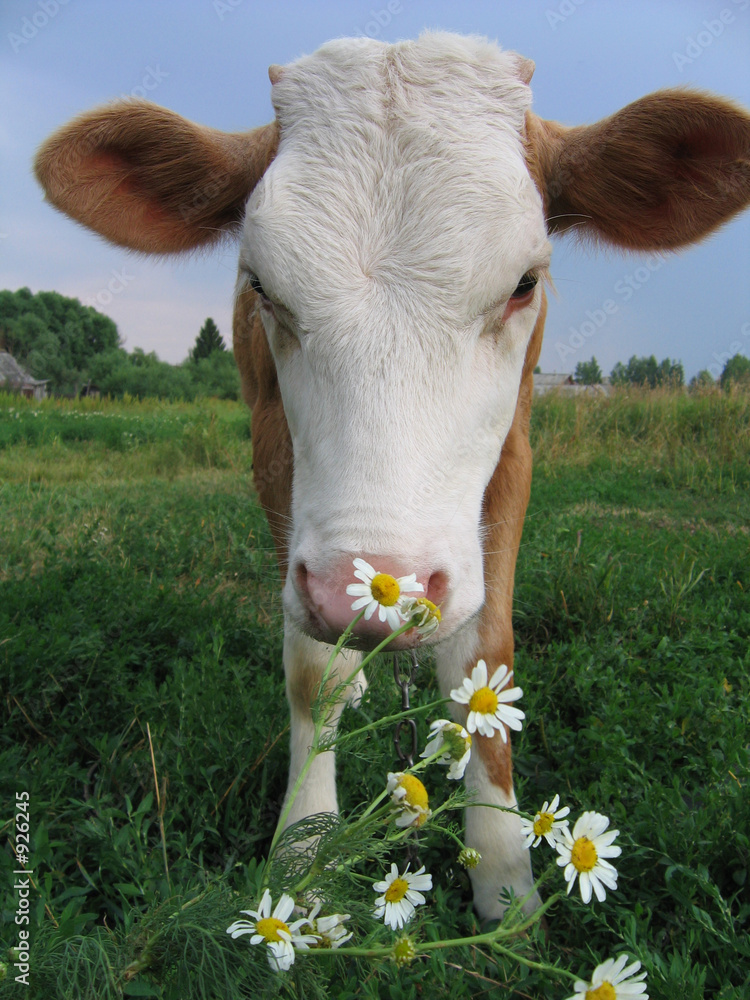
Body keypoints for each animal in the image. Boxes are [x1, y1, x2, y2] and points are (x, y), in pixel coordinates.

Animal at [35, 32, 750, 922]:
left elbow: (485, 659)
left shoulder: (513, 455)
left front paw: (505, 876)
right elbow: (316, 671)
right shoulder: (277, 458)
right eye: (261, 285)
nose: (383, 585)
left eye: (524, 282)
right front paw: (300, 864)